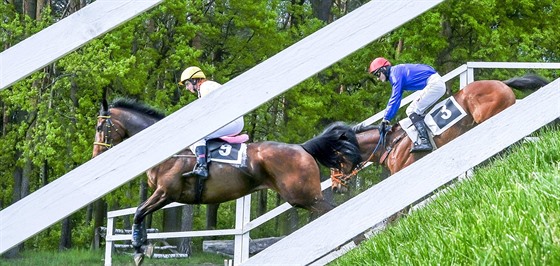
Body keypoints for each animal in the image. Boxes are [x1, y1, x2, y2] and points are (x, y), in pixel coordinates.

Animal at [91, 96, 358, 262]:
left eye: (100, 127)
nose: (94, 155)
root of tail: (302, 148)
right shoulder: (166, 196)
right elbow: (141, 214)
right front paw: (142, 246)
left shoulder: (166, 192)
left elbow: (138, 212)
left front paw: (139, 248)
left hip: (304, 196)